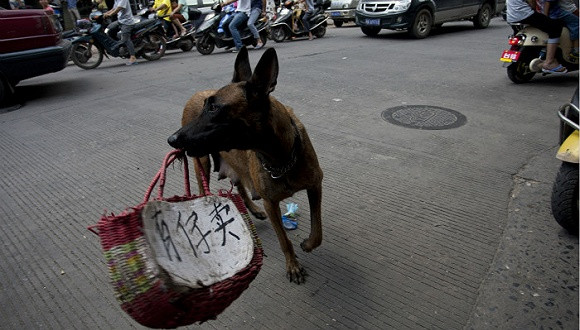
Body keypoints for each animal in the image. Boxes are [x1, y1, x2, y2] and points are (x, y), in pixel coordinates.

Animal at [167, 46, 322, 284]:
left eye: (214, 108)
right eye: (206, 107)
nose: (172, 139)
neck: (281, 157)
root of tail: (195, 93)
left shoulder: (315, 186)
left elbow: (318, 230)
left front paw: (308, 244)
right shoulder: (271, 203)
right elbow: (284, 240)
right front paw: (293, 265)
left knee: (239, 185)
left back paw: (254, 209)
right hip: (201, 162)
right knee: (205, 188)